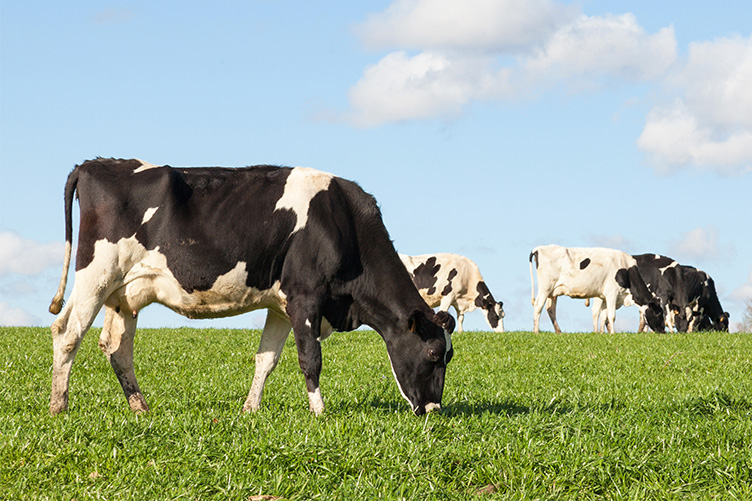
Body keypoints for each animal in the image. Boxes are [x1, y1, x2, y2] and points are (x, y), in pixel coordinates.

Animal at [48, 158, 455, 416]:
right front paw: (320, 412)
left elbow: (267, 359)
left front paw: (250, 409)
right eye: (434, 353)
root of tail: (95, 164)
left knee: (117, 348)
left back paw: (140, 407)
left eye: (449, 356)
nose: (433, 409)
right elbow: (310, 358)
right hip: (96, 274)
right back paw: (59, 406)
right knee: (67, 333)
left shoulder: (281, 306)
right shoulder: (306, 296)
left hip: (124, 294)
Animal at [529, 245, 664, 333]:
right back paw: (536, 331)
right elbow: (611, 316)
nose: (663, 331)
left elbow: (604, 315)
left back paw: (559, 331)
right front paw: (613, 333)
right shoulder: (611, 293)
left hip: (553, 292)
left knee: (550, 309)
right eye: (659, 312)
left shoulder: (603, 296)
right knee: (538, 306)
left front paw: (601, 333)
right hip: (545, 287)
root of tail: (539, 248)